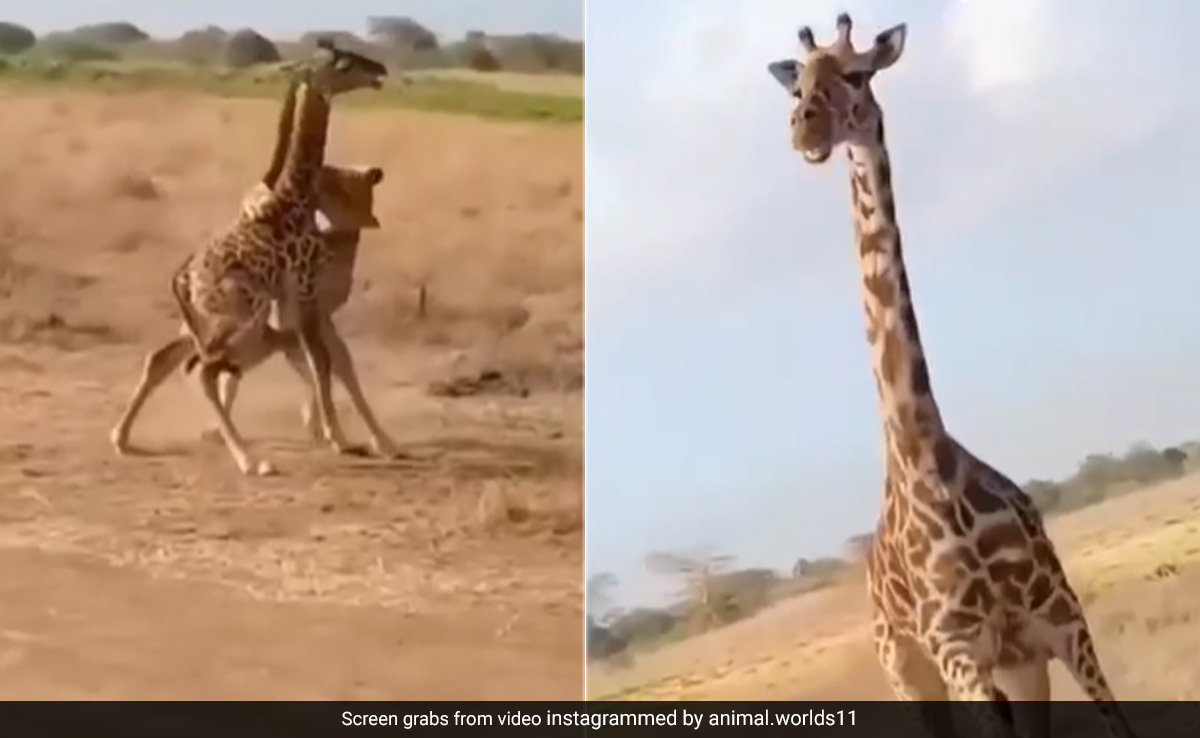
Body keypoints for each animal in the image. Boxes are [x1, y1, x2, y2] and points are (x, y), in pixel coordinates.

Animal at [172, 39, 387, 476]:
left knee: (199, 369)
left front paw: (336, 436)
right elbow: (322, 363)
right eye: (345, 63)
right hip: (237, 317)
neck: (295, 200)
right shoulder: (303, 293)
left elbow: (321, 362)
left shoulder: (296, 305)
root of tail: (184, 281)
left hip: (224, 325)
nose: (380, 70)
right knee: (203, 371)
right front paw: (342, 440)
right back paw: (250, 461)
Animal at [765, 15, 1139, 738]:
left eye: (856, 74)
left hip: (1017, 665)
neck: (923, 455)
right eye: (797, 86)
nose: (804, 130)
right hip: (908, 669)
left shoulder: (1059, 622)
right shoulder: (956, 649)